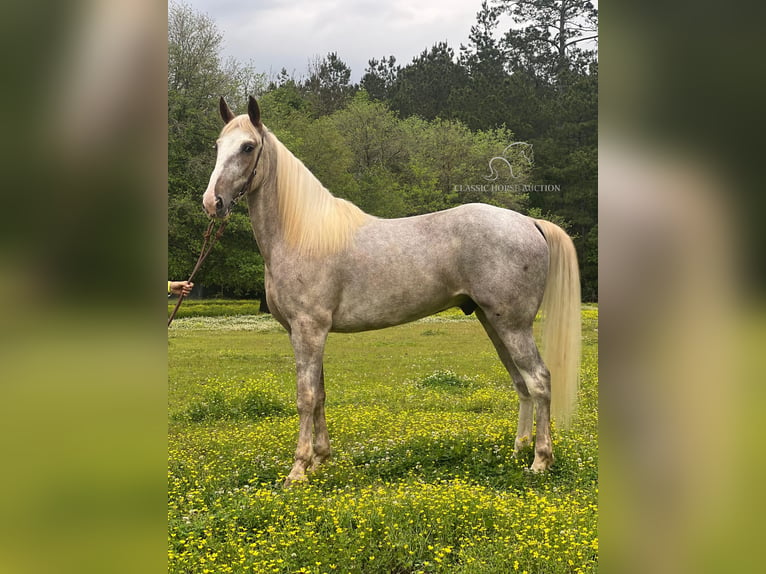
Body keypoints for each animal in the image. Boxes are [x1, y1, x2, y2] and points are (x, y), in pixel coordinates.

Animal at [204, 95, 584, 486]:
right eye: (218, 146)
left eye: (248, 147)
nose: (212, 202)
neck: (303, 234)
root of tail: (529, 223)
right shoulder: (310, 333)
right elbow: (321, 394)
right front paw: (321, 459)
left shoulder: (308, 330)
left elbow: (306, 397)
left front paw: (298, 470)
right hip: (492, 322)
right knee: (521, 383)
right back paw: (518, 451)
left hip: (513, 326)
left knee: (539, 380)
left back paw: (540, 461)